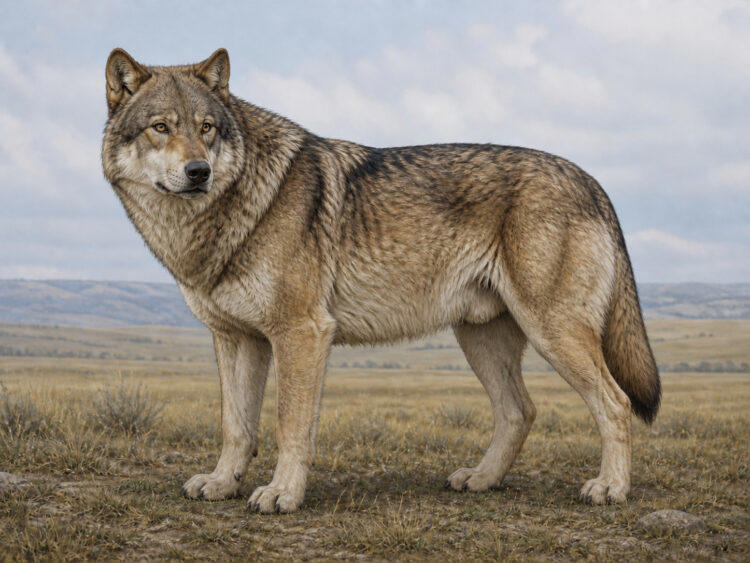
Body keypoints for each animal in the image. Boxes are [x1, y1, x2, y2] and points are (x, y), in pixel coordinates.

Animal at [102, 48, 660, 514]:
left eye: (207, 128)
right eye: (160, 127)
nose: (199, 171)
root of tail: (591, 180)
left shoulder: (301, 333)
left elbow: (289, 425)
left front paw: (282, 494)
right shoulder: (237, 339)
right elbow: (236, 426)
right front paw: (222, 484)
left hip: (552, 333)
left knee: (615, 403)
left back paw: (610, 489)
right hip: (482, 340)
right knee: (519, 411)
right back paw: (482, 479)